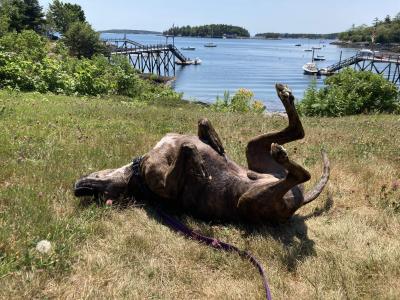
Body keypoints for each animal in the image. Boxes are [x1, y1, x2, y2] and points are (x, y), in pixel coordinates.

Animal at [74, 84, 328, 223]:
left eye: (99, 192)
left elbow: (202, 122)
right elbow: (188, 149)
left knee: (298, 131)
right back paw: (282, 155)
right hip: (248, 200)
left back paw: (284, 95)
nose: (78, 188)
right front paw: (197, 162)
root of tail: (301, 199)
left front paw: (213, 139)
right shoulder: (165, 184)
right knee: (301, 173)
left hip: (253, 149)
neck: (136, 173)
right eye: (103, 199)